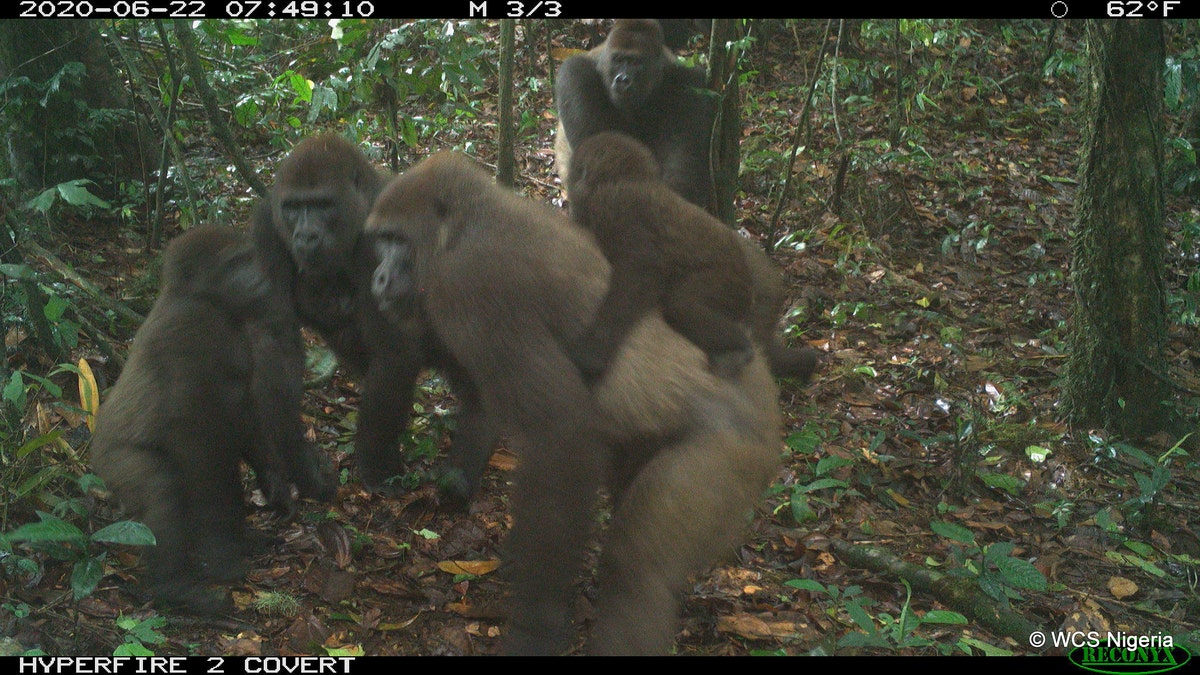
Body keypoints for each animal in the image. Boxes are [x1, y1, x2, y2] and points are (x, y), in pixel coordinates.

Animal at [91, 224, 333, 610]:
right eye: (234, 263)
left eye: (249, 257)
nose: (259, 277)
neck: (204, 298)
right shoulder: (192, 330)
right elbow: (194, 441)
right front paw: (222, 554)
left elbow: (247, 415)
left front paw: (276, 486)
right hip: (114, 463)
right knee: (163, 488)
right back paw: (174, 587)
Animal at [556, 19, 715, 207]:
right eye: (618, 60)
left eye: (635, 63)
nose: (622, 79)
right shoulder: (573, 74)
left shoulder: (690, 82)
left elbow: (683, 159)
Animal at [561, 130, 748, 381]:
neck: (626, 177)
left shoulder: (614, 206)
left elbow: (643, 270)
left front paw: (593, 350)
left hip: (730, 282)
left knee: (683, 304)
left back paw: (739, 346)